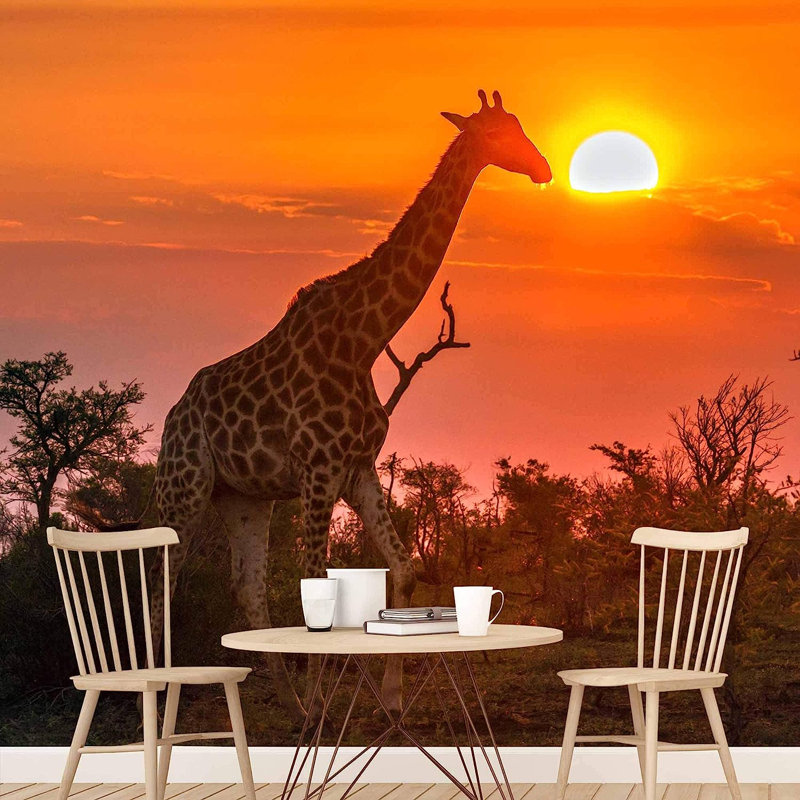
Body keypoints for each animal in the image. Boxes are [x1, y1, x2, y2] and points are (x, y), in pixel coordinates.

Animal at [154, 89, 551, 708]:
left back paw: (284, 698)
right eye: (499, 133)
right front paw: (322, 705)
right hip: (185, 485)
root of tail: (173, 416)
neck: (361, 339)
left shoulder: (358, 469)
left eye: (518, 125)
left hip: (243, 496)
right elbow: (317, 582)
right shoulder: (319, 469)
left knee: (246, 586)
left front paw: (389, 700)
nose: (544, 168)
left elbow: (404, 572)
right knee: (162, 586)